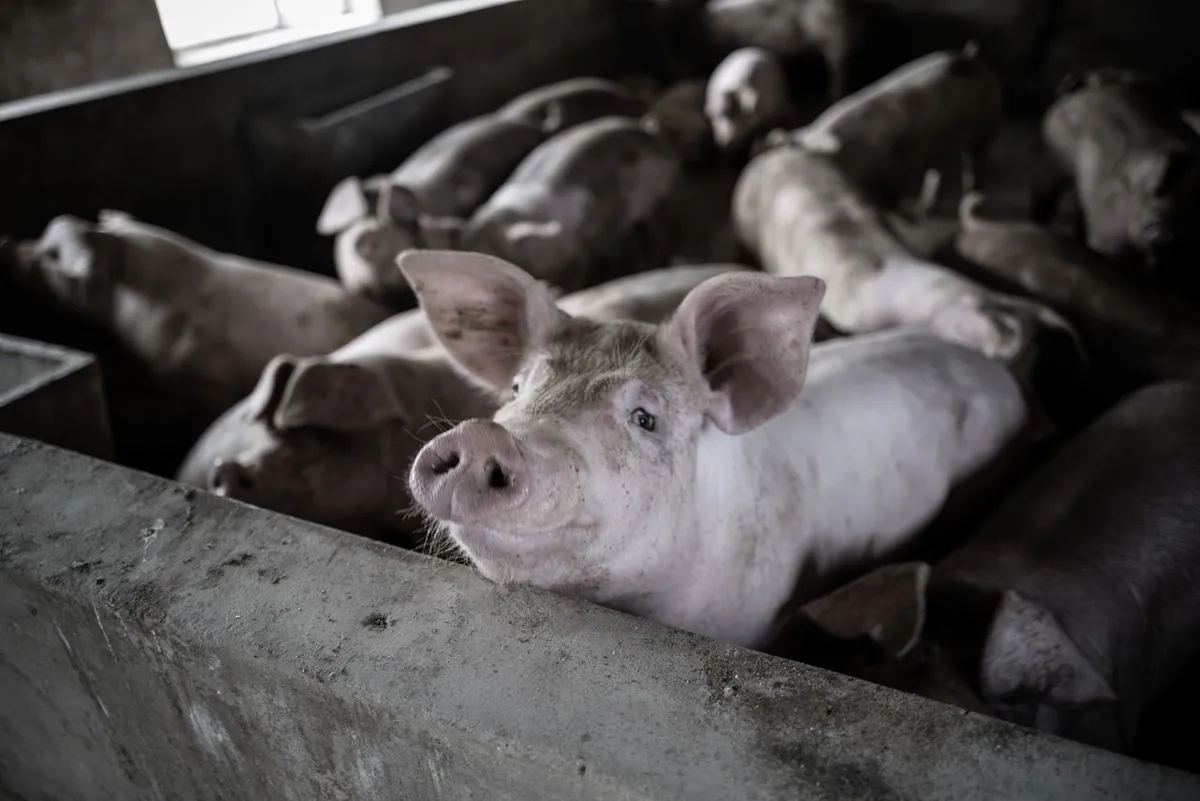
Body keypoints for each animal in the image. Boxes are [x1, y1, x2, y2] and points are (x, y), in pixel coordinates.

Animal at [783, 43, 1003, 217]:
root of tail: (970, 55)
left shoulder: (901, 168)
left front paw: (899, 213)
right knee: (941, 171)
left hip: (988, 124)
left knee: (974, 159)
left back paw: (970, 195)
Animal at [1032, 70, 1200, 275]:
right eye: (1153, 191)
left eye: (1191, 202)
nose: (1160, 233)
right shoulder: (1110, 236)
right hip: (1050, 157)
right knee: (1044, 199)